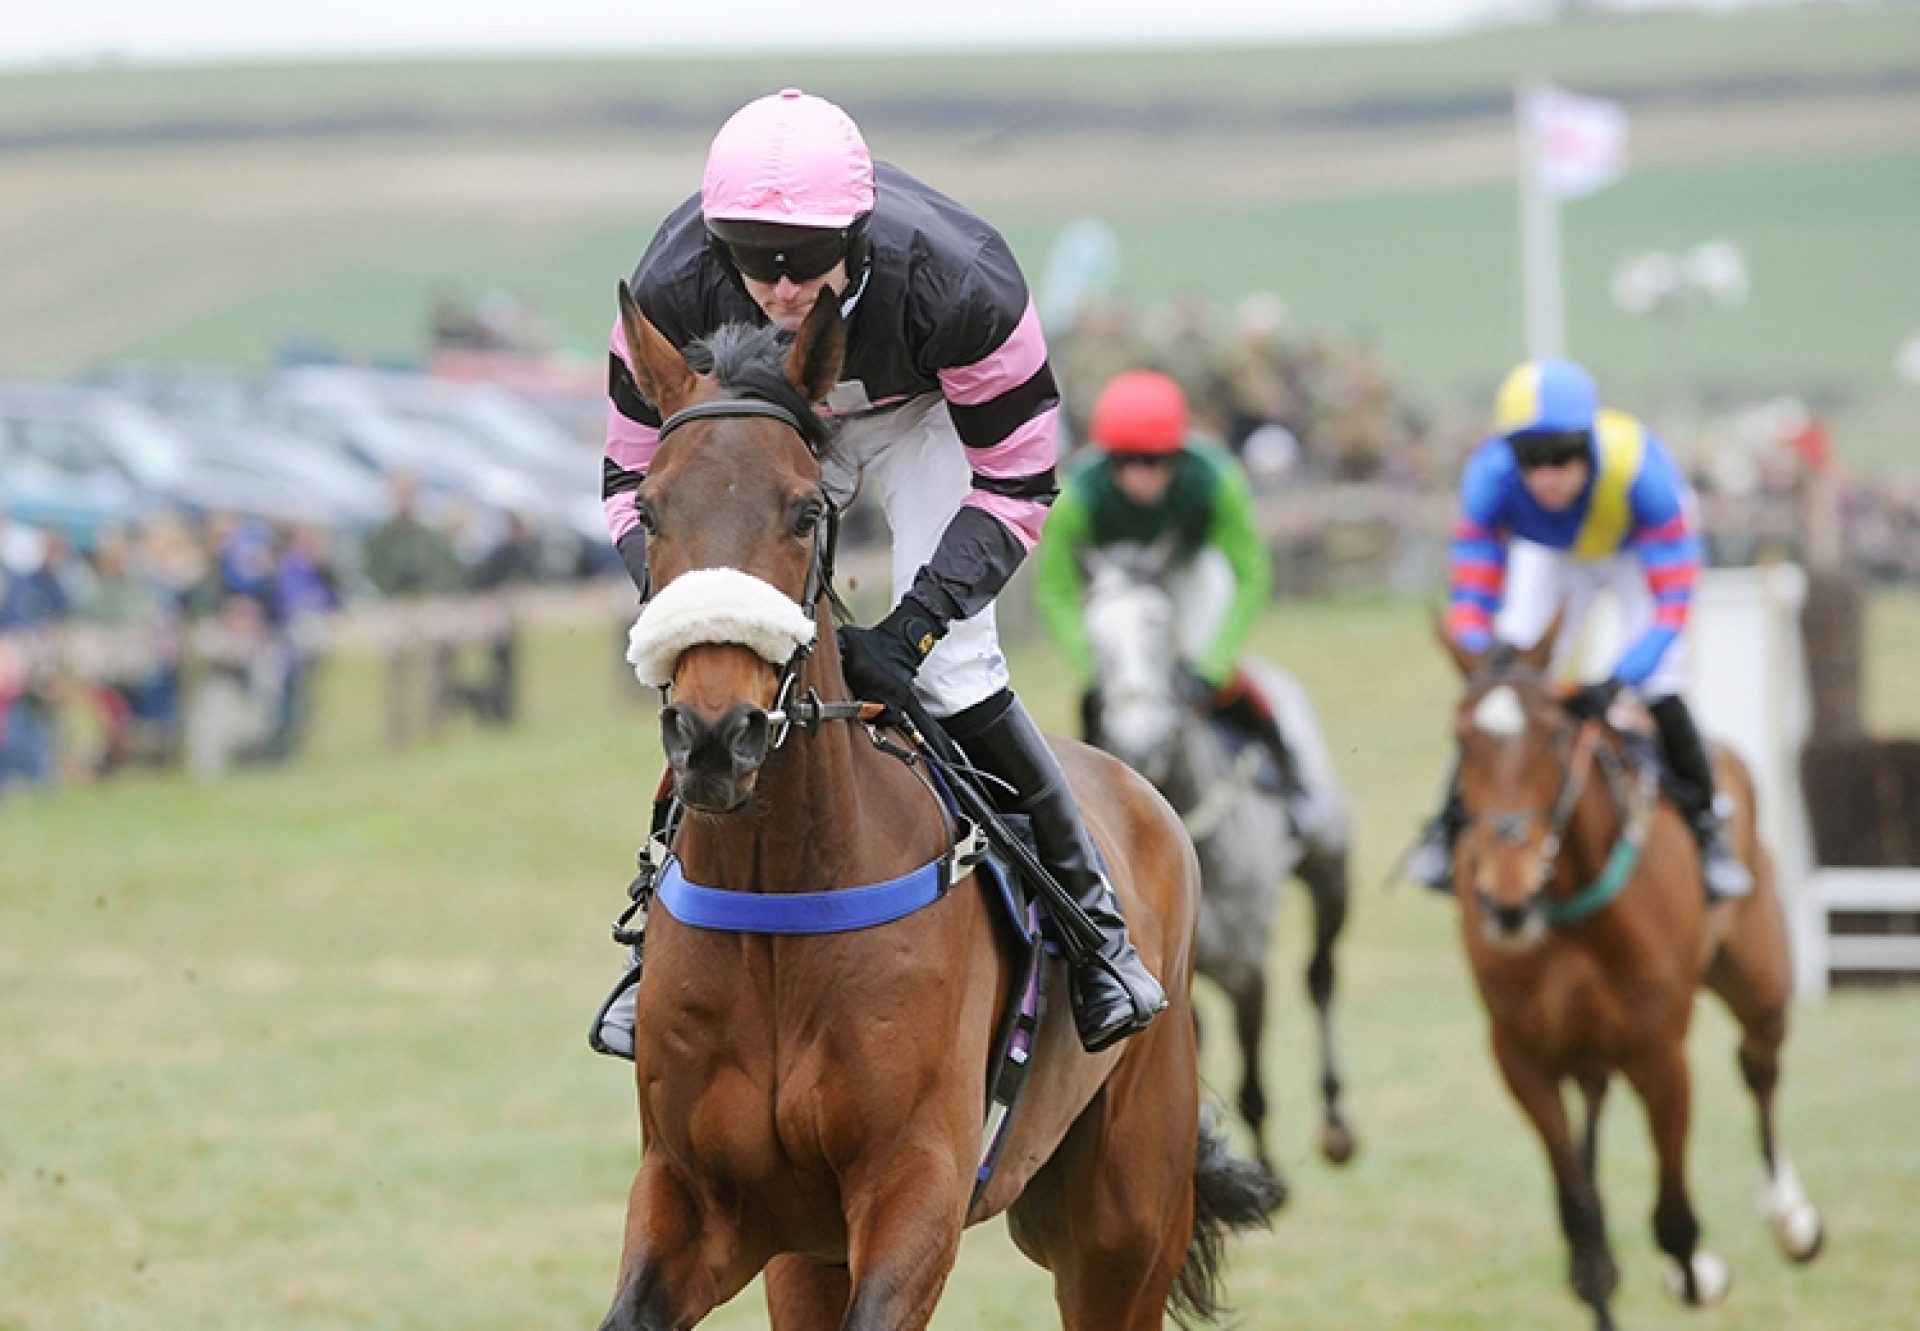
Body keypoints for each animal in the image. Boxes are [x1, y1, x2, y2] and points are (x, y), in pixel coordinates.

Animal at [1090, 556, 1359, 1175]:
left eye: (1160, 624)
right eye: (1095, 636)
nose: (1139, 739)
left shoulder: (1246, 973)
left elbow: (1254, 1087)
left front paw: (1267, 1175)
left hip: (1330, 873)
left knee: (1321, 976)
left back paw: (1336, 1121)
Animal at [1443, 626, 1827, 1329]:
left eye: (1555, 737)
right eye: (1461, 740)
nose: (1507, 897)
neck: (1569, 903)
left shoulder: (1659, 1052)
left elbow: (1674, 1219)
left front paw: (1697, 1273)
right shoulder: (1521, 1056)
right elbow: (1581, 1218)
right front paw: (1594, 1268)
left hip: (1758, 979)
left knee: (1759, 1065)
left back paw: (1791, 1217)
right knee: (1596, 1098)